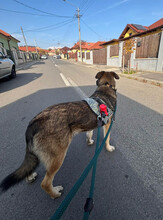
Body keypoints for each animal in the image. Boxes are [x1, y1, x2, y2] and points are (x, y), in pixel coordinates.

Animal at [0, 71, 119, 199]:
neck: (105, 86)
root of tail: (34, 122)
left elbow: (89, 133)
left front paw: (89, 141)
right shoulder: (108, 124)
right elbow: (107, 138)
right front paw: (108, 148)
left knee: (28, 169)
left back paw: (30, 177)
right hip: (58, 157)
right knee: (45, 183)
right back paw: (55, 193)